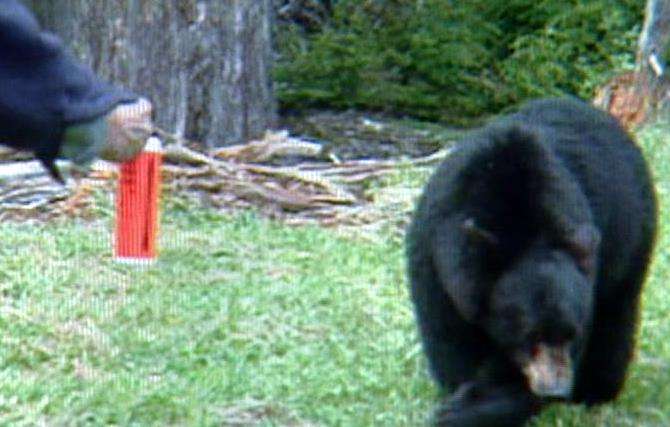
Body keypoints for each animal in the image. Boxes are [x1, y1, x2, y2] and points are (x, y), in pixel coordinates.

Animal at [406, 97, 657, 426]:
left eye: (570, 334)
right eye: (531, 337)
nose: (557, 389)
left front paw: (471, 407)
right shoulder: (436, 260)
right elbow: (451, 342)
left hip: (632, 239)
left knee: (616, 317)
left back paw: (596, 393)